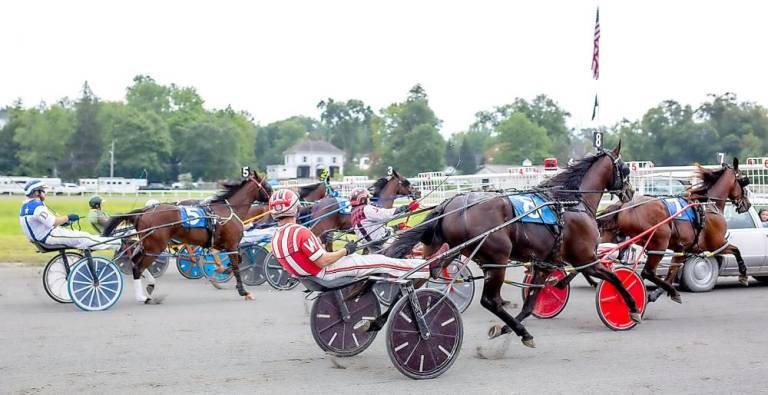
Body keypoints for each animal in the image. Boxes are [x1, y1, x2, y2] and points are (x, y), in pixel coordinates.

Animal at [103, 170, 272, 304]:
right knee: (138, 266)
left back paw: (150, 286)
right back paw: (142, 297)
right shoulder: (232, 244)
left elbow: (235, 261)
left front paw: (223, 270)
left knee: (134, 261)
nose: (273, 199)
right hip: (155, 246)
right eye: (268, 186)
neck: (227, 211)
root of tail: (144, 212)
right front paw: (243, 291)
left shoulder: (223, 245)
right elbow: (237, 266)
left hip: (146, 245)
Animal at [388, 144, 632, 348]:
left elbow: (530, 304)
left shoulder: (545, 264)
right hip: (497, 259)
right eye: (625, 168)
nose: (630, 192)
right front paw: (633, 309)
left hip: (444, 253)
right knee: (490, 300)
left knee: (416, 281)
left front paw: (508, 327)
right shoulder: (586, 258)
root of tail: (449, 204)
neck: (570, 202)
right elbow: (614, 278)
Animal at [596, 158, 752, 304]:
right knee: (648, 272)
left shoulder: (682, 250)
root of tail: (625, 205)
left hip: (614, 236)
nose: (748, 204)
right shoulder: (716, 243)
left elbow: (672, 272)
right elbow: (736, 250)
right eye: (743, 180)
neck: (708, 205)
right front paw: (743, 275)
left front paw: (657, 293)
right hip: (659, 243)